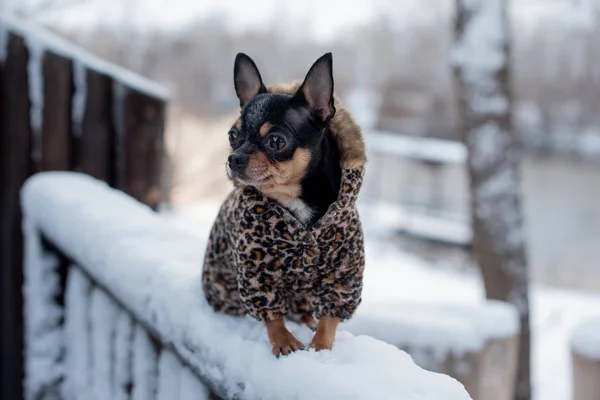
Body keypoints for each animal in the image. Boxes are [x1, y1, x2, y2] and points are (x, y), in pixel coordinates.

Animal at [203, 53, 366, 356]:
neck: (295, 201)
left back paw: (308, 319)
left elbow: (330, 317)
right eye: (232, 135)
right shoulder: (257, 274)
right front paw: (285, 341)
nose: (234, 158)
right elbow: (272, 315)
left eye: (276, 141)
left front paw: (320, 346)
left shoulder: (343, 274)